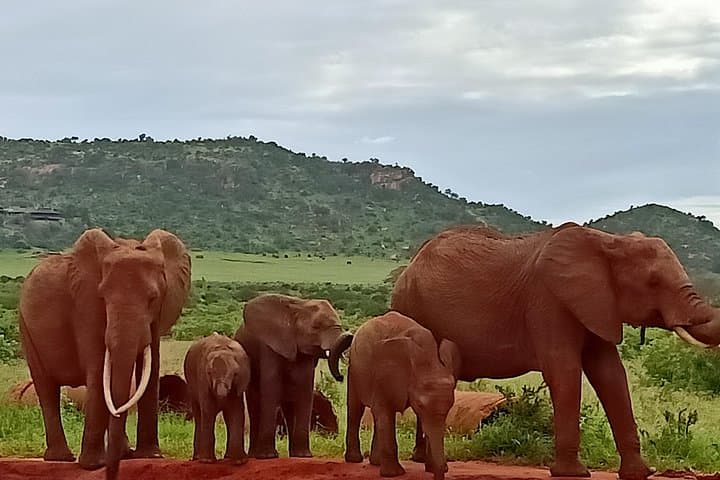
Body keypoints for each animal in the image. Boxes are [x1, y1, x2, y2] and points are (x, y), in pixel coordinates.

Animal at [18, 228, 191, 480]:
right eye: (103, 297)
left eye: (153, 299)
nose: (111, 473)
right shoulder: (86, 307)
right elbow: (100, 369)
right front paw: (92, 465)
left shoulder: (159, 313)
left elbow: (150, 369)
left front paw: (150, 456)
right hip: (26, 328)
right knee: (46, 388)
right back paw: (62, 458)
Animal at [183, 332, 250, 464]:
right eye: (209, 373)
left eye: (234, 374)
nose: (221, 396)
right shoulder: (203, 380)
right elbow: (208, 410)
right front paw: (207, 461)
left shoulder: (238, 384)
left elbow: (235, 411)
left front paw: (239, 461)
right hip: (191, 386)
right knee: (199, 415)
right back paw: (197, 458)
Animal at [233, 293, 353, 459]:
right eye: (316, 327)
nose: (341, 377)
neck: (299, 306)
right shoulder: (269, 346)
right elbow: (271, 389)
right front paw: (268, 456)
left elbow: (304, 390)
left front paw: (304, 456)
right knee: (254, 401)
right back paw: (254, 455)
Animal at [342, 311, 460, 480]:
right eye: (420, 405)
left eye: (451, 406)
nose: (439, 472)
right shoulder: (383, 373)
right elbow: (384, 411)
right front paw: (393, 474)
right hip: (354, 369)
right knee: (356, 409)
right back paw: (355, 460)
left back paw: (376, 462)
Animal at [383, 223, 720, 480]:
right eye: (653, 281)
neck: (607, 241)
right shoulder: (548, 301)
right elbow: (565, 371)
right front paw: (572, 473)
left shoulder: (596, 304)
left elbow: (611, 374)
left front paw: (640, 474)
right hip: (410, 308)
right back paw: (423, 462)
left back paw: (424, 461)